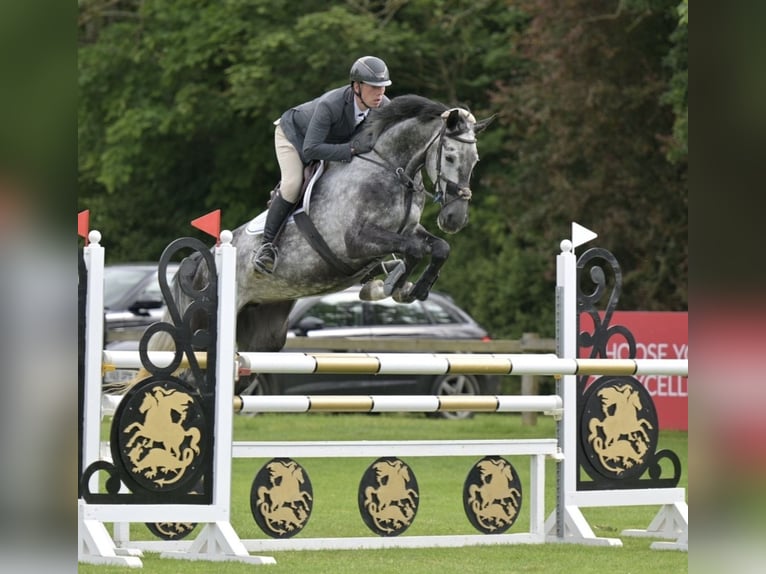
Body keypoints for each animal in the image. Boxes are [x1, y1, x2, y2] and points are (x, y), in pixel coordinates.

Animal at [136, 94, 496, 374]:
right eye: (449, 156)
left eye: (476, 160)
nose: (455, 218)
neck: (391, 168)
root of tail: (199, 261)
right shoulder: (355, 241)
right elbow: (414, 251)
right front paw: (388, 286)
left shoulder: (407, 230)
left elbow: (438, 248)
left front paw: (408, 289)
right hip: (204, 323)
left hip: (264, 333)